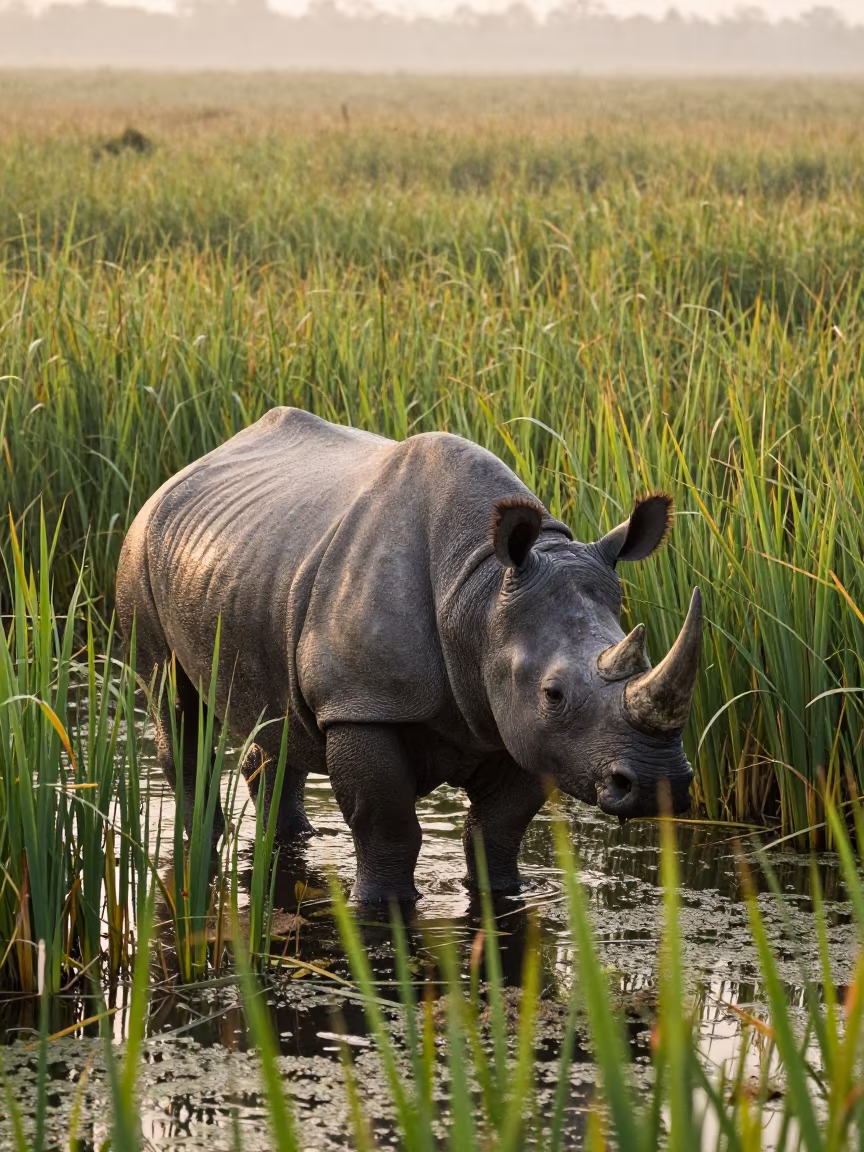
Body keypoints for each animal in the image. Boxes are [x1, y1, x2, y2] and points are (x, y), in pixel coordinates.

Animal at [116, 407, 701, 903]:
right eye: (553, 694)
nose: (658, 785)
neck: (480, 594)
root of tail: (180, 474)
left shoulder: (525, 731)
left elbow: (499, 828)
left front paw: (501, 894)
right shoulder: (361, 702)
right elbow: (388, 825)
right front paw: (382, 904)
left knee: (276, 719)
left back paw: (296, 836)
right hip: (138, 548)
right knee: (173, 703)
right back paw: (202, 841)